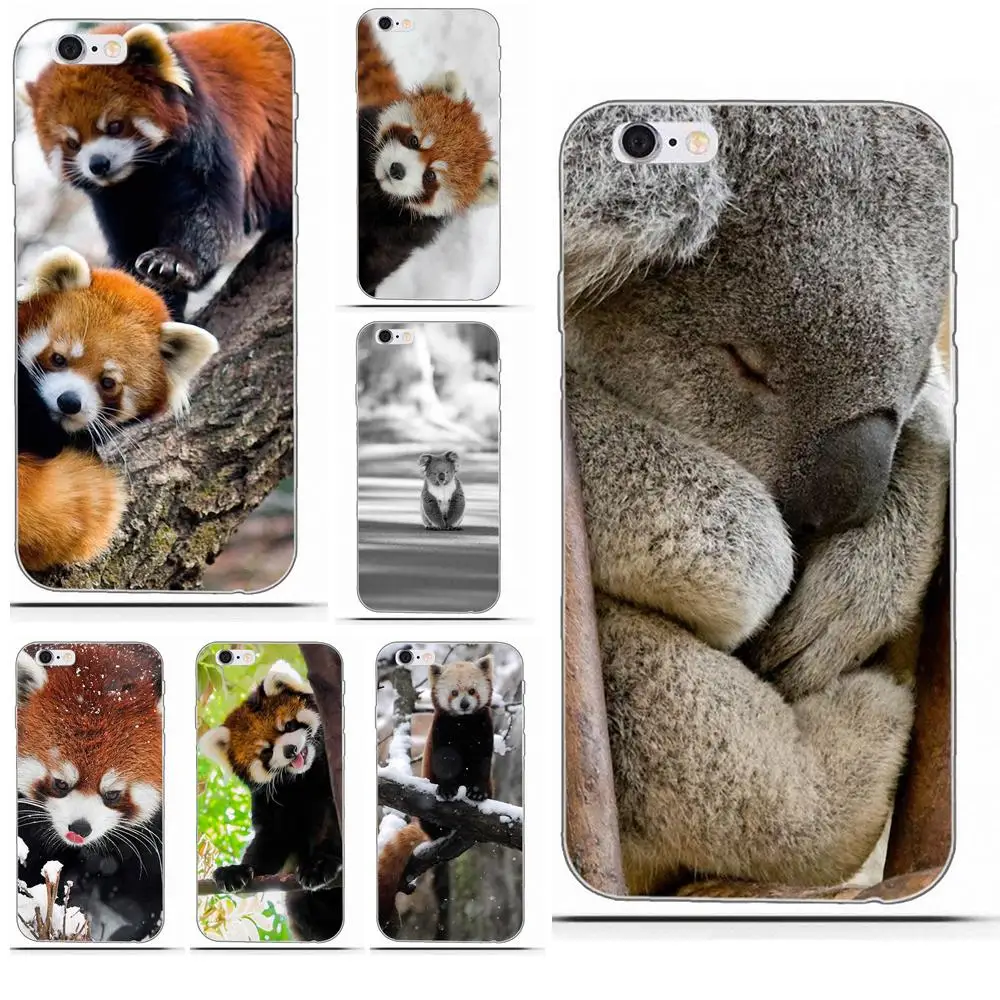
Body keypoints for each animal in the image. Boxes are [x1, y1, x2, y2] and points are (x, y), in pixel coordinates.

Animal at [18, 22, 293, 318]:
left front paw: (173, 262)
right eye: (72, 143)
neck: (144, 175)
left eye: (115, 126)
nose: (98, 164)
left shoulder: (210, 141)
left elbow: (210, 214)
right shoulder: (116, 199)